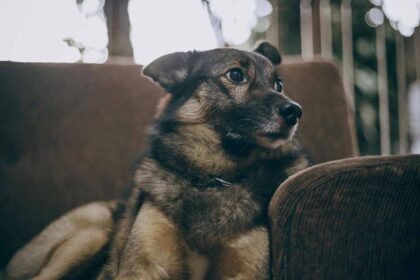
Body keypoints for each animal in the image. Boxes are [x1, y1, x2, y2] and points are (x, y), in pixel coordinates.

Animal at [5, 42, 308, 280]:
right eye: (236, 75)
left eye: (278, 84)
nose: (295, 111)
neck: (214, 176)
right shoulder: (141, 268)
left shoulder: (244, 271)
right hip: (92, 233)